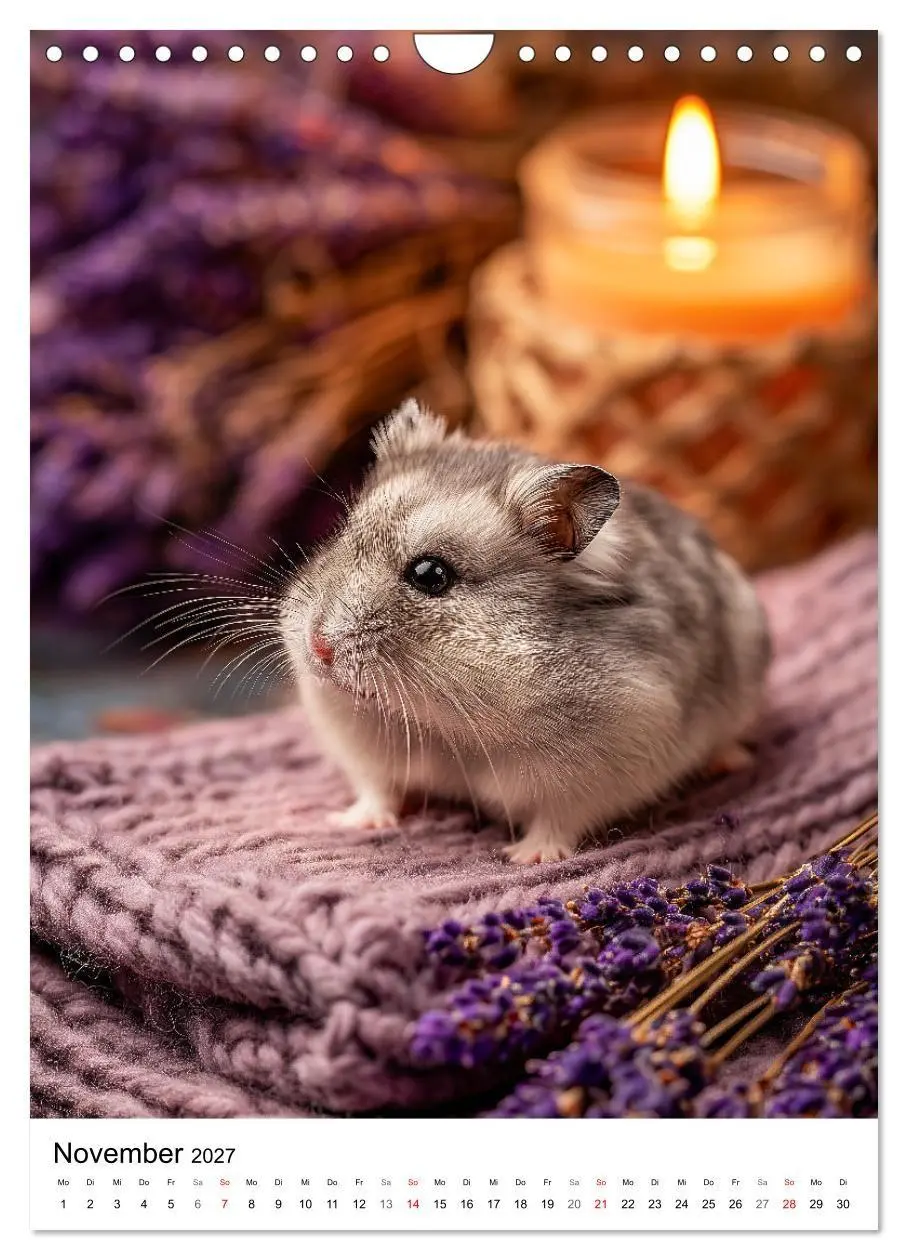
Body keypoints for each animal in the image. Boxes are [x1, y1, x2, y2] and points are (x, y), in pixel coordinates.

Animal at [280, 399, 771, 863]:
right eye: (343, 534)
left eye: (431, 575)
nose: (317, 648)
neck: (440, 725)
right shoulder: (362, 751)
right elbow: (377, 788)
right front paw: (351, 822)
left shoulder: (599, 770)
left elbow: (557, 820)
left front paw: (525, 857)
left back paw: (729, 761)